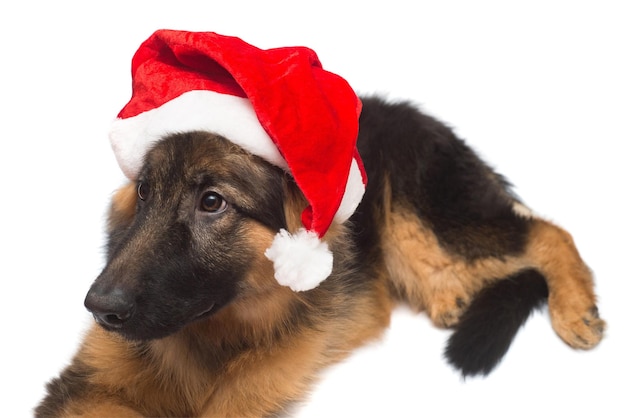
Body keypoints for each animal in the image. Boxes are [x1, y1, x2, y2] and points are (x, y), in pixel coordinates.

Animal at [36, 96, 604, 416]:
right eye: (145, 192)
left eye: (212, 202)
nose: (100, 308)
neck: (216, 336)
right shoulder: (84, 386)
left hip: (422, 224)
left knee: (546, 230)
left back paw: (575, 309)